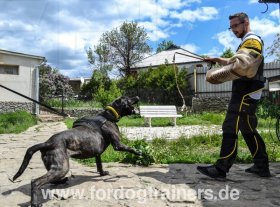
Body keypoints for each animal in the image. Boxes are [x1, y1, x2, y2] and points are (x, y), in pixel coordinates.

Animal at [12, 96, 141, 206]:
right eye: (128, 98)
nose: (137, 97)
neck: (108, 115)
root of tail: (47, 143)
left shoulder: (97, 153)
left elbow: (99, 165)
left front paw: (102, 173)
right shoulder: (118, 145)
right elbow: (130, 148)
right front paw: (139, 152)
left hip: (55, 166)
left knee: (51, 180)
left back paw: (61, 181)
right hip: (62, 167)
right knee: (36, 182)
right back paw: (35, 203)